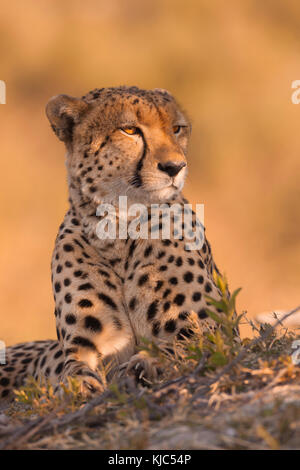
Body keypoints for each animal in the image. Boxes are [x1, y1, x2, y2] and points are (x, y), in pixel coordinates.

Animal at [0, 85, 237, 400]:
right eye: (130, 130)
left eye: (177, 128)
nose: (175, 167)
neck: (118, 229)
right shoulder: (85, 345)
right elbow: (68, 370)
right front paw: (80, 385)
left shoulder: (215, 326)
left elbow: (178, 345)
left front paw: (144, 366)